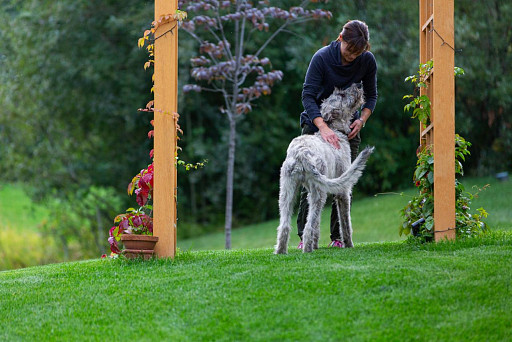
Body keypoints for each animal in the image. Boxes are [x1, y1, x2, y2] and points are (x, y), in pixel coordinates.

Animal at [274, 83, 374, 254]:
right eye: (341, 95)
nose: (358, 84)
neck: (335, 130)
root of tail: (301, 154)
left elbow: (318, 223)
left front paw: (316, 244)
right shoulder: (342, 191)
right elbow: (345, 222)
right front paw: (349, 245)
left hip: (287, 191)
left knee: (285, 224)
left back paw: (281, 251)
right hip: (318, 192)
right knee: (308, 226)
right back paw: (307, 249)